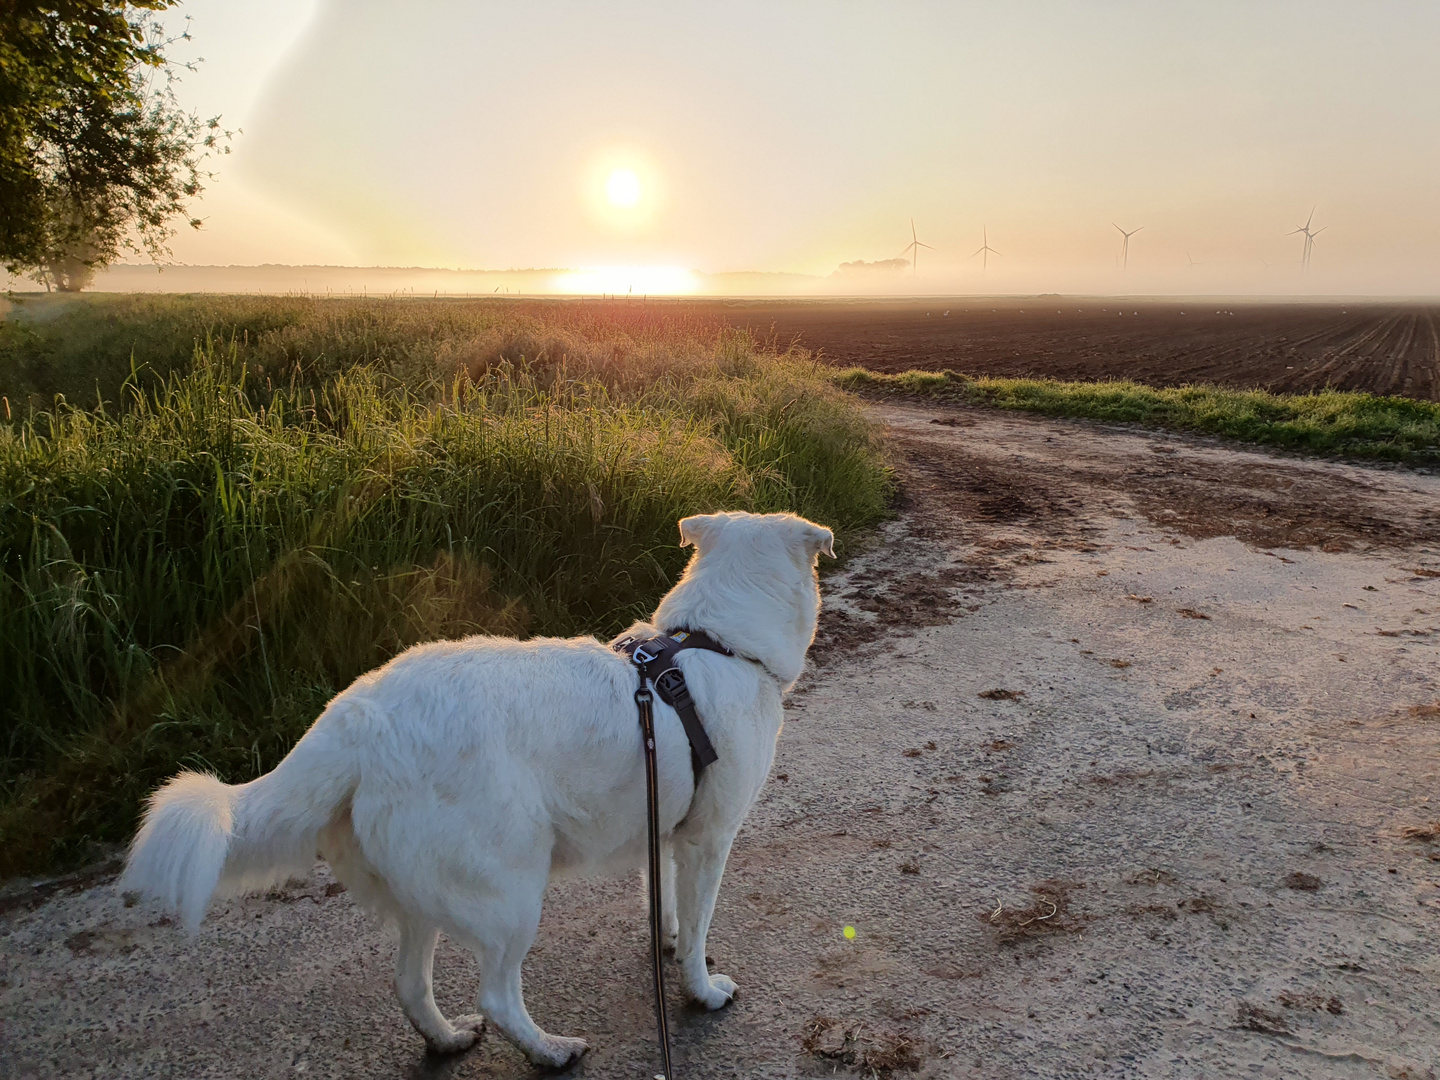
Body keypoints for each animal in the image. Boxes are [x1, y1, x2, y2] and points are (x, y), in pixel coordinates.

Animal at [122, 512, 835, 1071]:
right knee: (495, 995)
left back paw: (446, 1040)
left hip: (424, 896)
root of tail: (360, 718)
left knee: (410, 986)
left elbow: (663, 908)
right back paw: (549, 1050)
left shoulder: (662, 831)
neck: (716, 645)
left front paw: (665, 936)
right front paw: (702, 989)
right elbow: (696, 935)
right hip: (511, 895)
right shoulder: (707, 843)